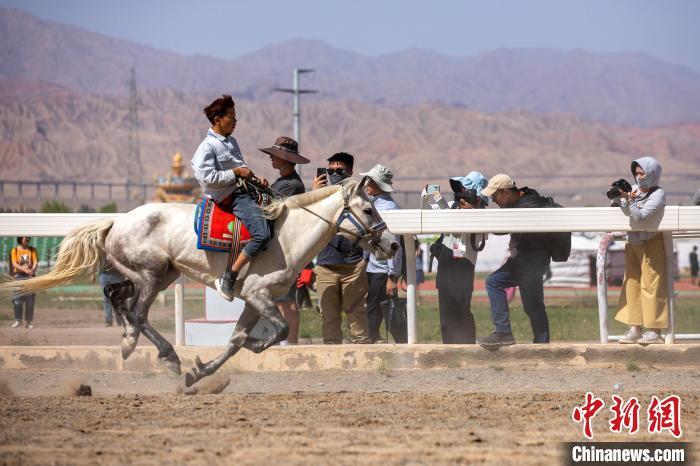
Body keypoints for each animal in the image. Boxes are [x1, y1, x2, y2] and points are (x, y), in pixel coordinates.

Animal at [1, 178, 400, 386]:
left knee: (117, 298)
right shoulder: (258, 294)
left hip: (155, 275)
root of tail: (116, 221)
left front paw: (202, 372)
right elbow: (280, 331)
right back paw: (167, 356)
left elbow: (237, 340)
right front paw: (248, 347)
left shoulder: (254, 300)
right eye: (368, 209)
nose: (393, 243)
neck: (286, 236)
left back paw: (130, 344)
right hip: (149, 276)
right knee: (137, 313)